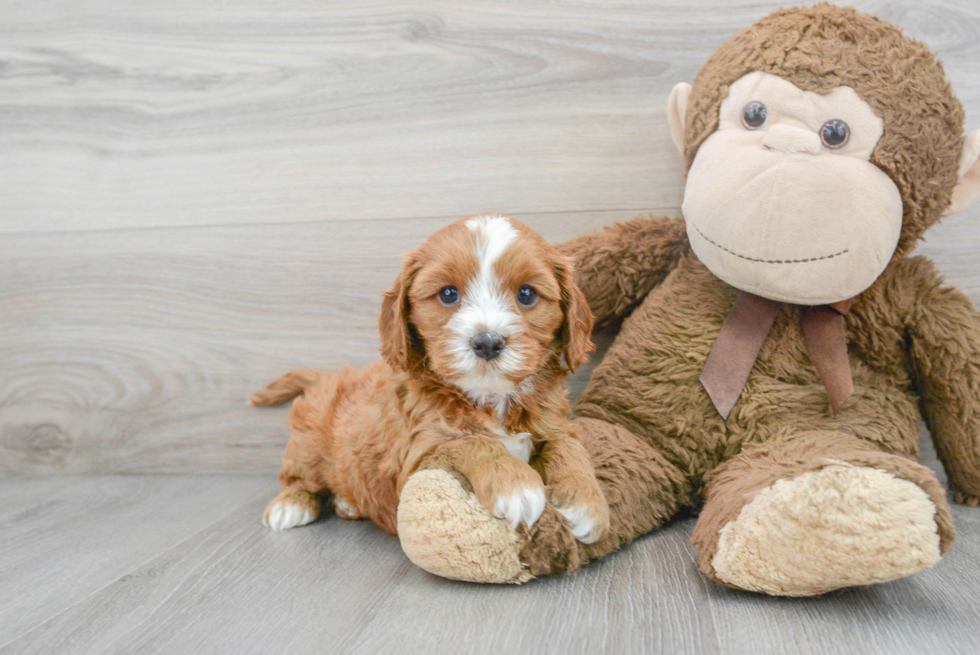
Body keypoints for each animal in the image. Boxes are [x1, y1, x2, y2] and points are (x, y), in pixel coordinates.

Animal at [251, 214, 612, 544]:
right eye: (448, 294)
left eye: (526, 294)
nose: (488, 342)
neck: (491, 400)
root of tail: (328, 376)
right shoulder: (415, 461)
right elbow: (469, 442)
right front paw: (517, 487)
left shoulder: (555, 423)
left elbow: (568, 446)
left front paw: (587, 501)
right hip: (308, 445)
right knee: (297, 476)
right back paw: (291, 505)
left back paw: (347, 503)